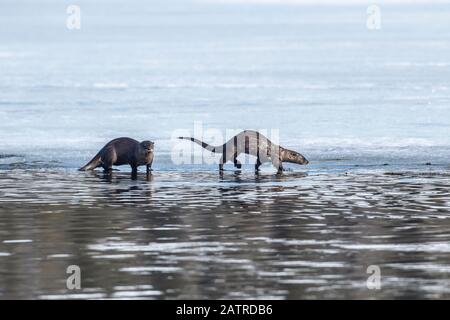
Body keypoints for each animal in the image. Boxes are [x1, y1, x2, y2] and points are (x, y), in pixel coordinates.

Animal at [179, 130, 310, 174]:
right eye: (302, 157)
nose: (308, 161)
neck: (279, 151)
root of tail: (228, 141)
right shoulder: (273, 156)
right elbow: (278, 165)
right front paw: (286, 169)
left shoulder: (262, 156)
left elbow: (258, 163)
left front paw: (257, 169)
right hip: (232, 149)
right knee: (223, 159)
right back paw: (224, 168)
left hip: (237, 150)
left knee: (232, 158)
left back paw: (238, 165)